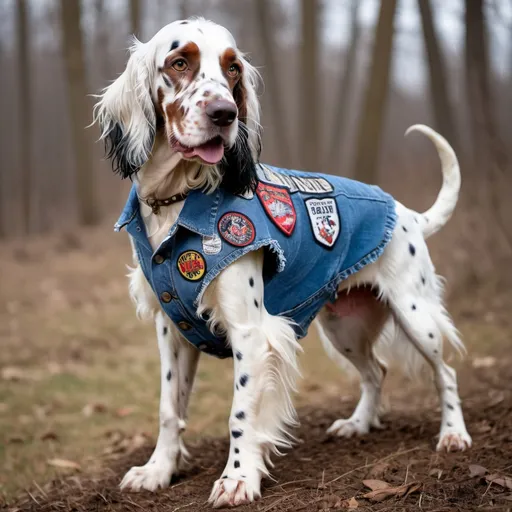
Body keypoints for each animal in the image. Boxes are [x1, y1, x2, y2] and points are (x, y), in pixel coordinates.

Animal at [93, 17, 472, 508]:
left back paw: (453, 434)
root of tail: (406, 211)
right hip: (345, 327)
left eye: (232, 69)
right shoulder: (171, 331)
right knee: (376, 372)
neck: (178, 200)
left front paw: (238, 478)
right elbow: (168, 408)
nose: (224, 114)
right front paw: (158, 470)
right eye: (179, 62)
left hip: (415, 314)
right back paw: (359, 424)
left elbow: (239, 415)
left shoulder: (251, 333)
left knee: (446, 373)